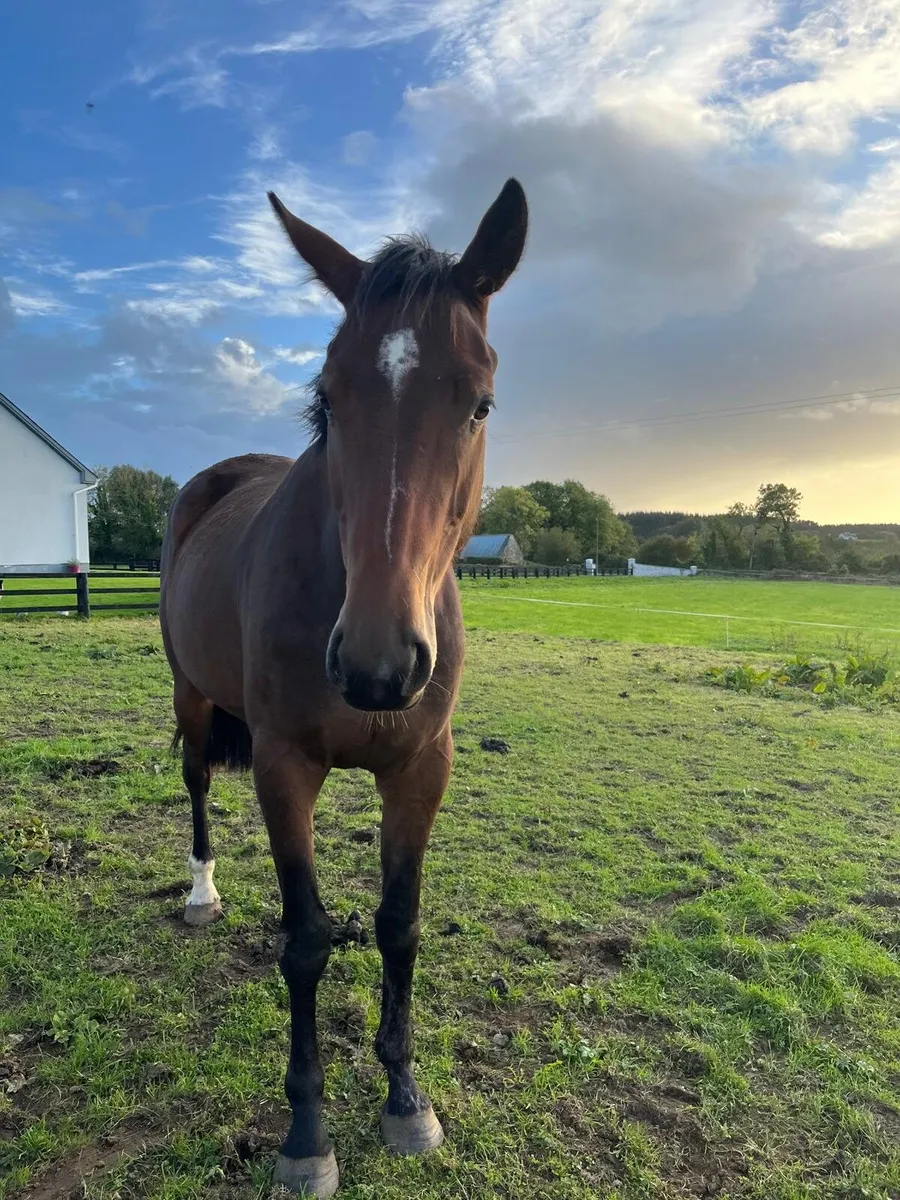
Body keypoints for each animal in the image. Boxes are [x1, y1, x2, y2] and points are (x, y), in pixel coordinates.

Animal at [159, 178, 528, 1197]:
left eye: (480, 403)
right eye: (327, 396)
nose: (377, 665)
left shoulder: (422, 769)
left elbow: (398, 925)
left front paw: (405, 1100)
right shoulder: (285, 766)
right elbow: (308, 938)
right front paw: (307, 1133)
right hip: (192, 695)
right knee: (197, 783)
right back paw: (201, 891)